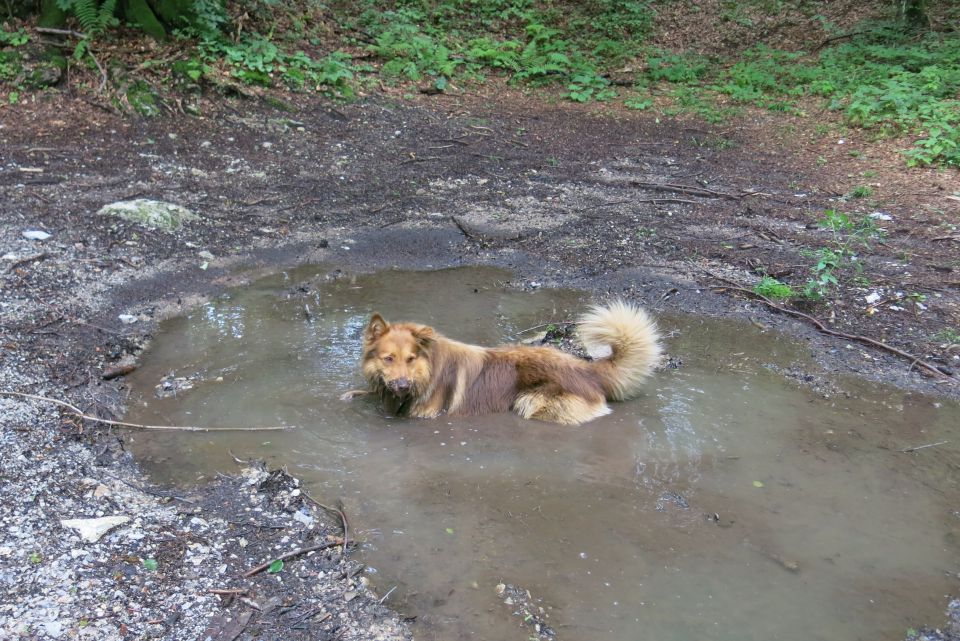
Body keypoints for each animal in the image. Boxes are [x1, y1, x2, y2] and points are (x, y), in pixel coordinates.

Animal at [342, 302, 664, 424]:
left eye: (411, 359)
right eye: (389, 358)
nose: (402, 384)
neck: (427, 371)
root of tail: (588, 370)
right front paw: (351, 394)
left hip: (530, 401)